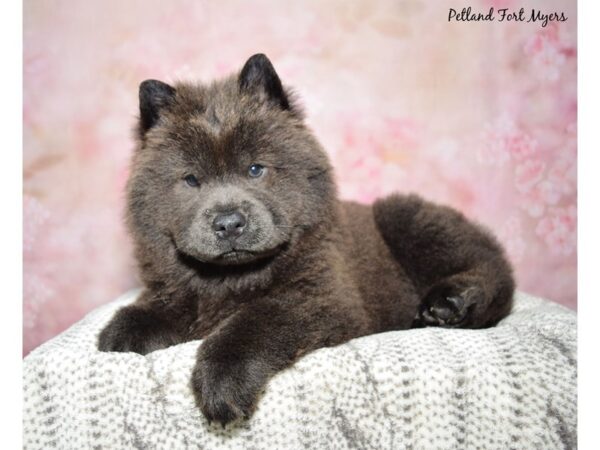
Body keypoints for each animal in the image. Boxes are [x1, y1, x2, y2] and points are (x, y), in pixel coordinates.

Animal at [99, 52, 516, 426]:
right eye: (190, 180)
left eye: (255, 169)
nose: (229, 222)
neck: (230, 279)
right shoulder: (174, 289)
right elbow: (149, 310)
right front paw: (119, 337)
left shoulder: (320, 295)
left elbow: (253, 322)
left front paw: (221, 385)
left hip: (406, 218)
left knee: (493, 269)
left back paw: (449, 305)